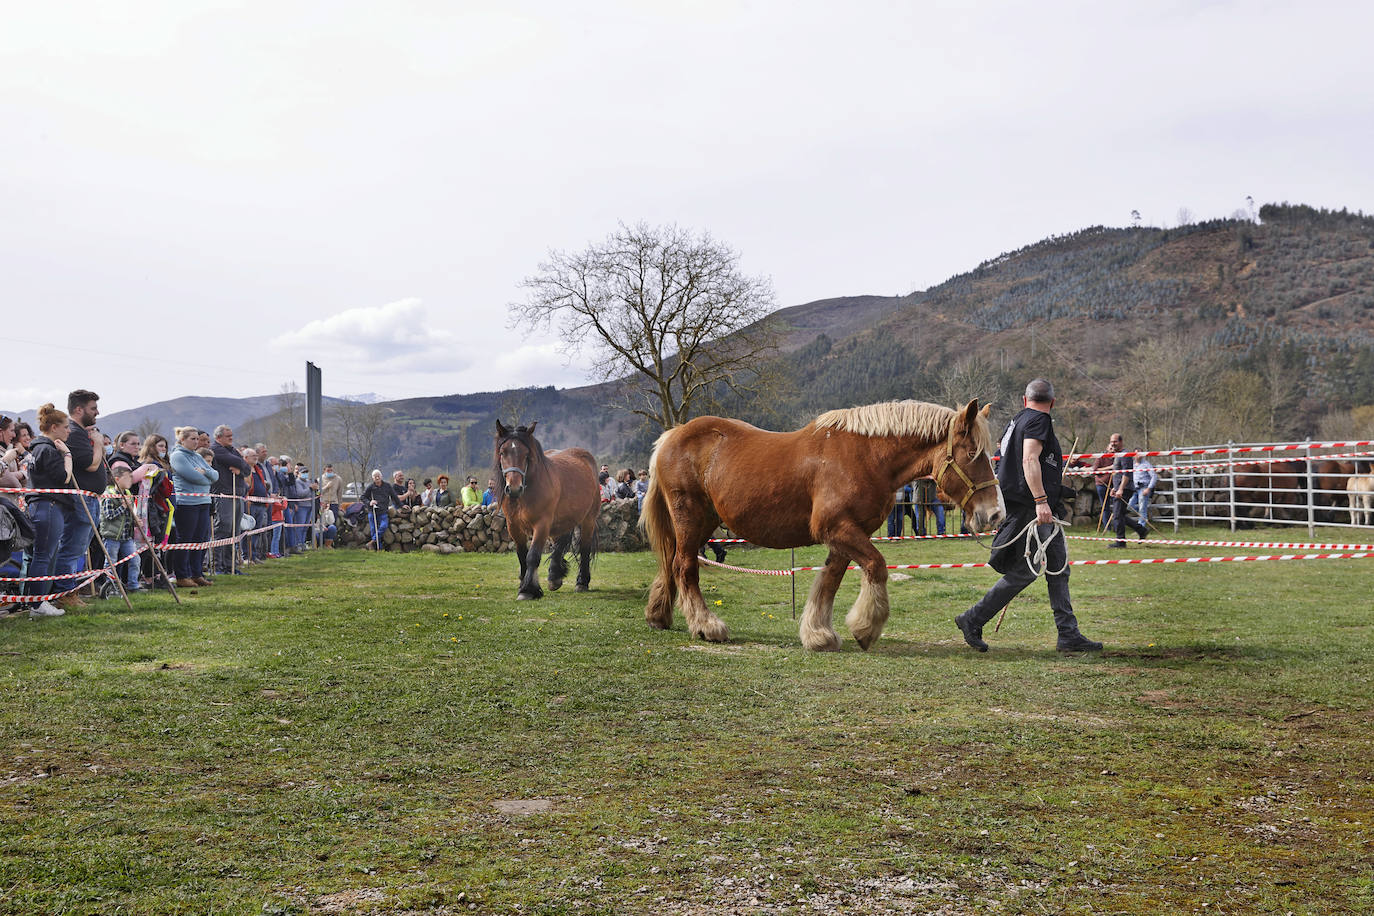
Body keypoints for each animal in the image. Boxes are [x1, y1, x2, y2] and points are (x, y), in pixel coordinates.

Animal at [494, 422, 601, 601]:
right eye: (503, 453)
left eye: (526, 454)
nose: (514, 488)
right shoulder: (513, 526)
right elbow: (522, 555)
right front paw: (525, 584)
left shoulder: (542, 524)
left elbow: (532, 556)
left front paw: (527, 590)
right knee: (559, 544)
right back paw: (554, 576)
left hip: (589, 519)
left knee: (584, 548)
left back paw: (582, 582)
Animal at [637, 401, 1005, 650]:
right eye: (972, 454)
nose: (995, 515)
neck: (865, 457)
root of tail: (672, 435)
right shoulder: (838, 529)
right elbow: (876, 566)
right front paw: (865, 629)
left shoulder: (847, 534)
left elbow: (830, 580)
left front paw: (818, 633)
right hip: (690, 519)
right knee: (685, 567)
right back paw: (706, 626)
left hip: (699, 523)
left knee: (671, 563)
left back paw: (659, 615)